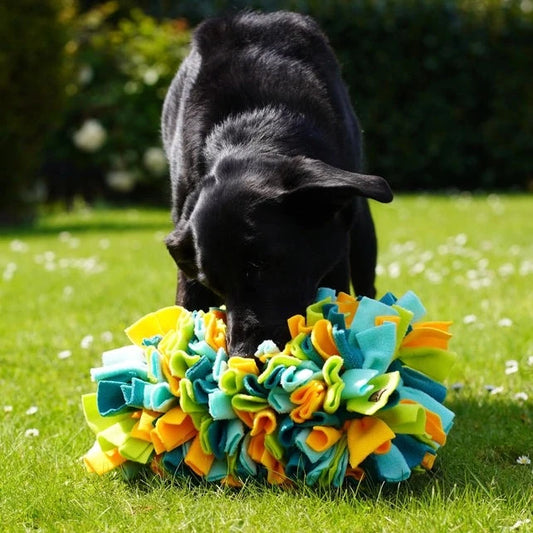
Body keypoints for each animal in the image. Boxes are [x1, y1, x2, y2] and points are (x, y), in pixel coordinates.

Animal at [161, 10, 390, 356]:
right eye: (215, 284)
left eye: (260, 264)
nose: (243, 355)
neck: (253, 131)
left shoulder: (335, 253)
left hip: (362, 231)